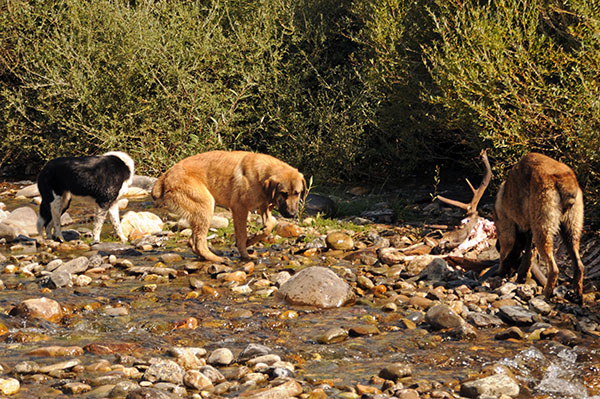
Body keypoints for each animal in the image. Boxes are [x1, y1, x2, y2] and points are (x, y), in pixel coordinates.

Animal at [152, 151, 308, 262]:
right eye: (284, 193)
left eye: (297, 193)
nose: (292, 215)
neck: (261, 175)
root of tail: (165, 175)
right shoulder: (240, 209)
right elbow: (242, 235)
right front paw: (246, 254)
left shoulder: (264, 207)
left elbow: (268, 227)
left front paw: (252, 239)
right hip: (206, 205)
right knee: (199, 243)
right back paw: (218, 259)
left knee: (193, 242)